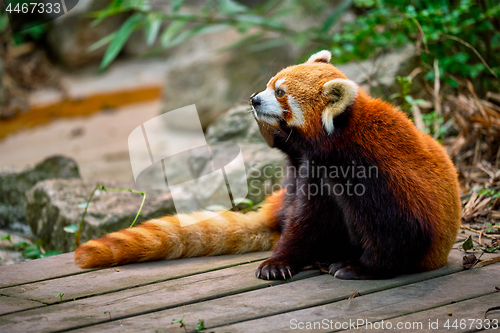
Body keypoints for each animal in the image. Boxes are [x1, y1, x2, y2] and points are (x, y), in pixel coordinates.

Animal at [74, 51, 460, 280]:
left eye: (281, 93)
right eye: (269, 85)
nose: (253, 99)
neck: (338, 141)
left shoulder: (374, 173)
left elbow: (398, 231)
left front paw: (360, 267)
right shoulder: (314, 173)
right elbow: (307, 221)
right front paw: (279, 262)